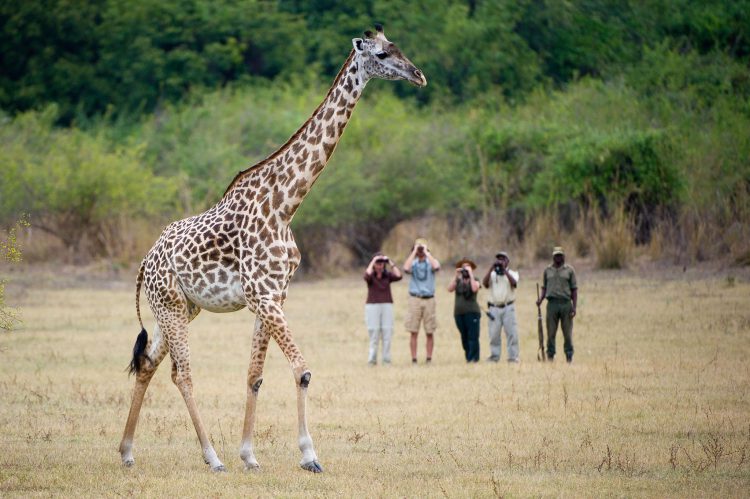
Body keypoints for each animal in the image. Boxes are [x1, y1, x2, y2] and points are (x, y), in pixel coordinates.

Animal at [116, 24, 424, 476]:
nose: (418, 76)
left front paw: (250, 454)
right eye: (382, 54)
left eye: (397, 47)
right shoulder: (262, 295)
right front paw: (309, 456)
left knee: (148, 364)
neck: (285, 204)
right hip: (170, 307)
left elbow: (255, 375)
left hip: (177, 308)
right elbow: (302, 370)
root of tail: (144, 260)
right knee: (181, 373)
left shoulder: (275, 294)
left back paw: (126, 451)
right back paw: (212, 458)